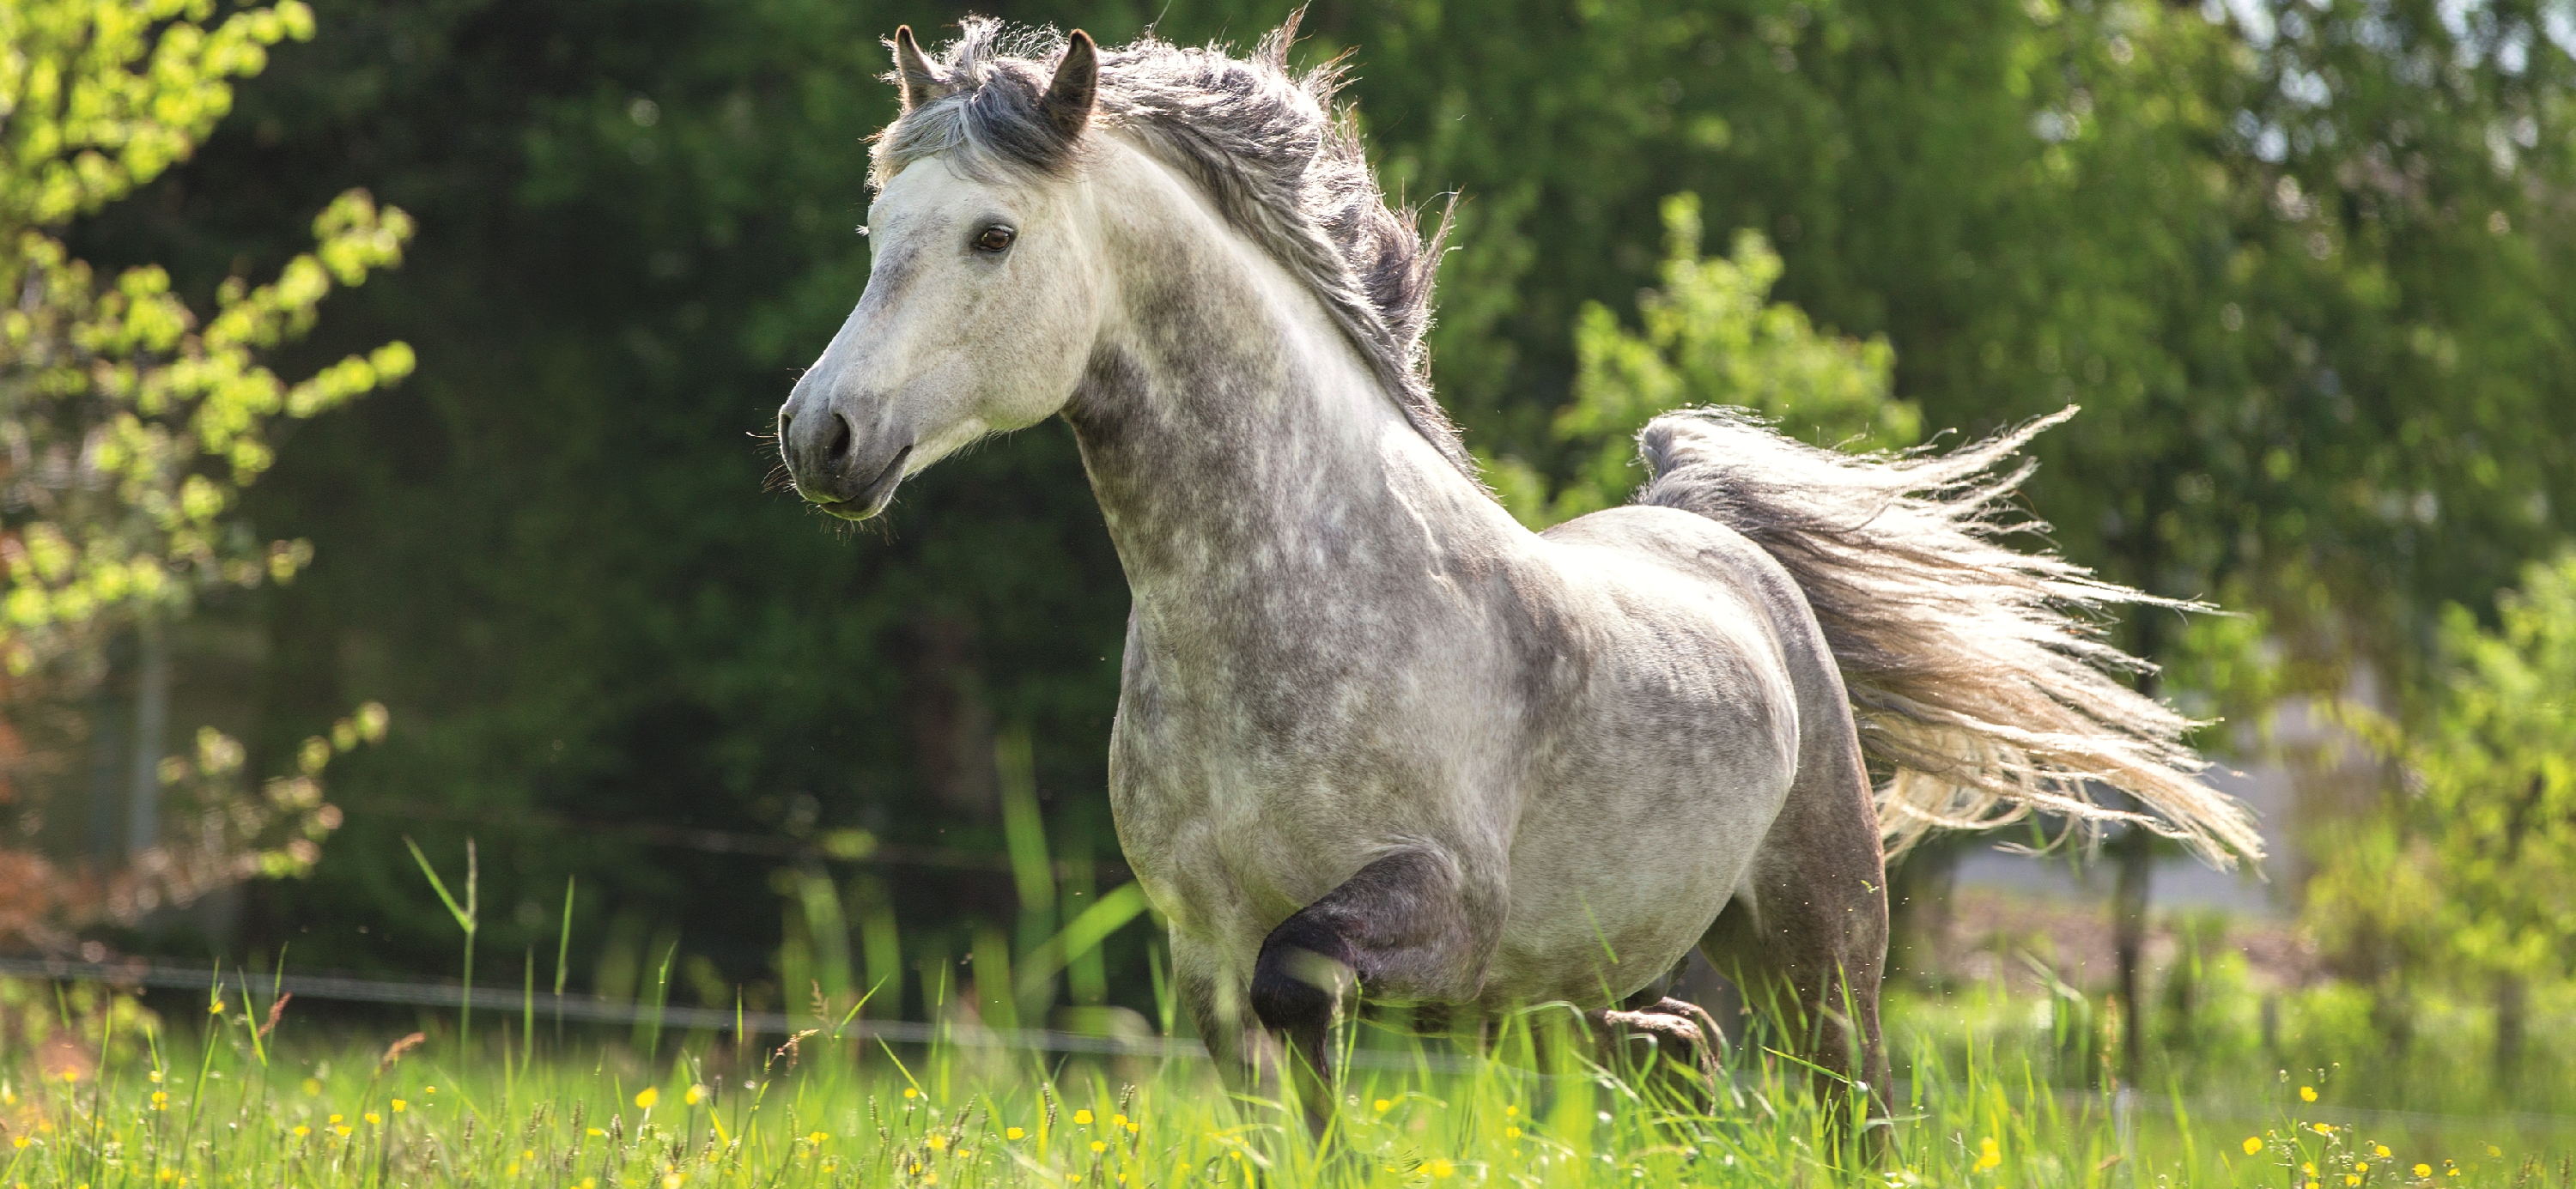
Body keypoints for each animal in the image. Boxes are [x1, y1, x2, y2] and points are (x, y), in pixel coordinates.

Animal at [773, 15, 2267, 1132]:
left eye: (993, 236)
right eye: (873, 231)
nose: (819, 434)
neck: (1279, 599)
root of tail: (1726, 546)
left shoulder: (1431, 912)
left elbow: (1303, 978)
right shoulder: (1204, 959)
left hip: (1823, 953)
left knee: (1853, 1111)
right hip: (1607, 974)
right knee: (1676, 1052)